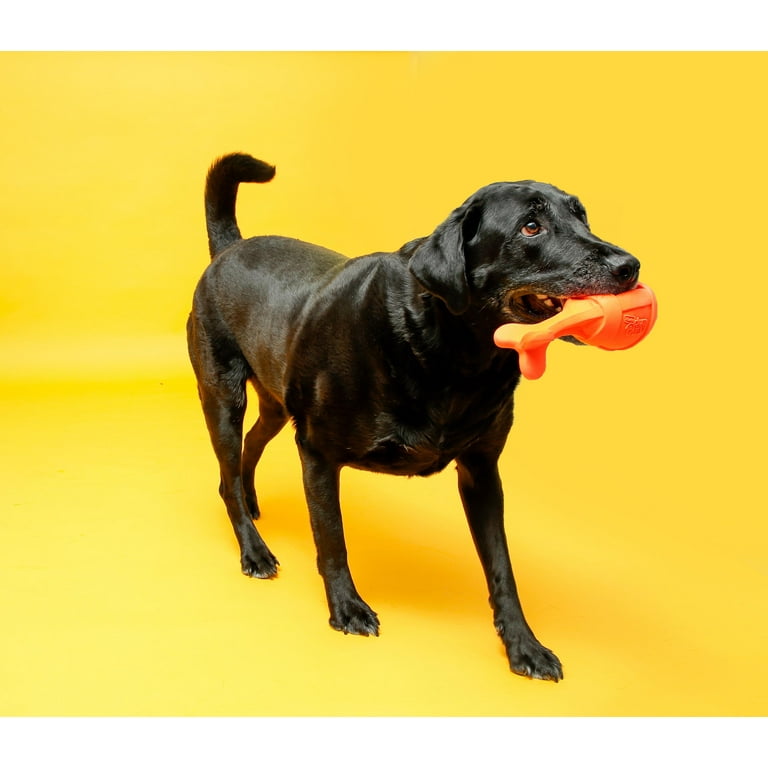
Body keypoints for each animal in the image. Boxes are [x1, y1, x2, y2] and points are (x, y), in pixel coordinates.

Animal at [187, 153, 641, 682]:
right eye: (531, 226)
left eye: (581, 216)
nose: (629, 266)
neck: (454, 354)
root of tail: (229, 249)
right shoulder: (317, 453)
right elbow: (332, 539)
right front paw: (347, 608)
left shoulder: (482, 472)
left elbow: (501, 566)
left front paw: (523, 644)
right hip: (223, 398)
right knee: (227, 471)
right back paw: (253, 548)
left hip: (276, 404)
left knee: (251, 447)